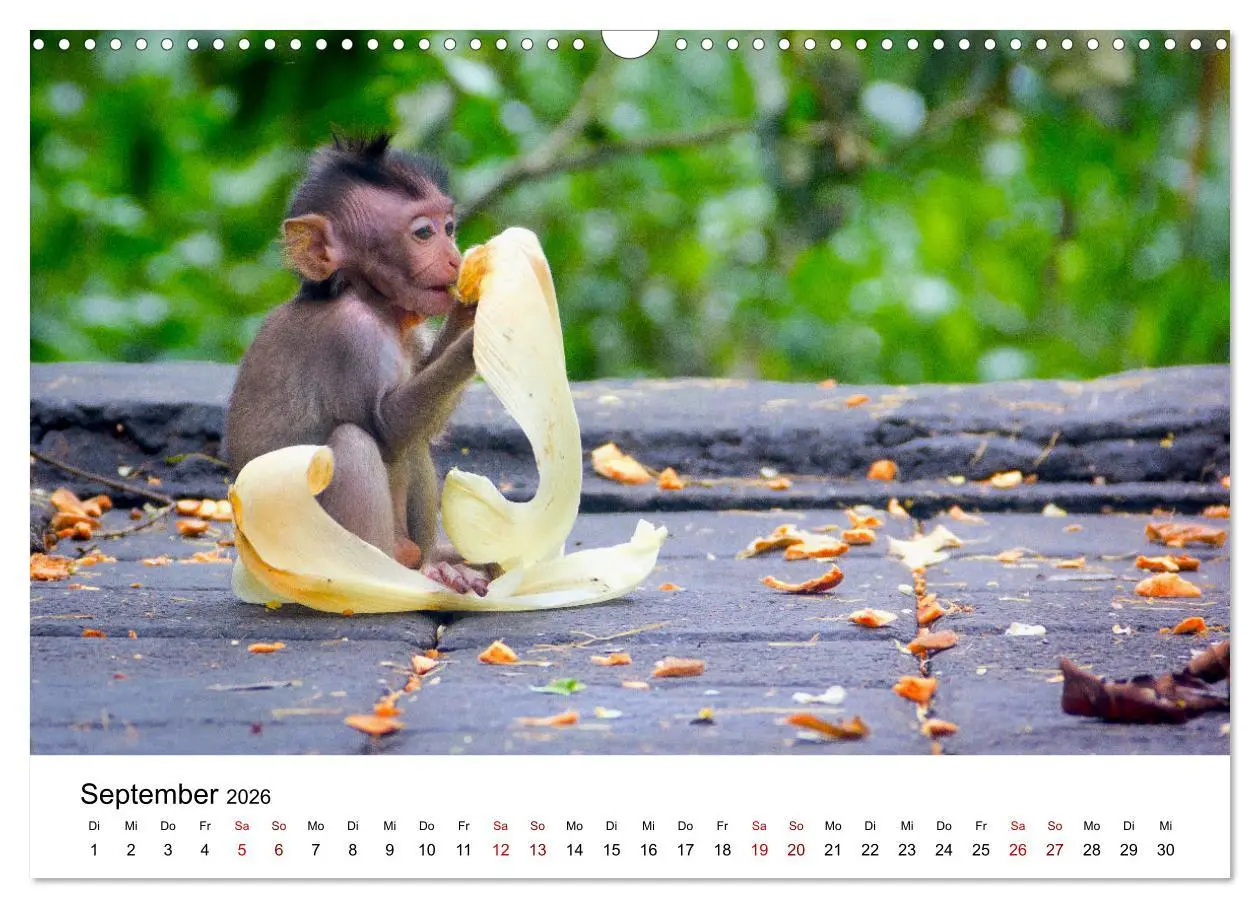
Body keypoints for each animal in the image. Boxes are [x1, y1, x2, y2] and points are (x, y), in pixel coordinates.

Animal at [225, 133, 488, 596]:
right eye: (424, 233)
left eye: (449, 227)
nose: (456, 260)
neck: (370, 300)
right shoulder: (350, 338)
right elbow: (387, 429)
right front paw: (475, 340)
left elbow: (422, 429)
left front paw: (467, 312)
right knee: (353, 442)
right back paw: (383, 581)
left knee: (414, 445)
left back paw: (436, 564)